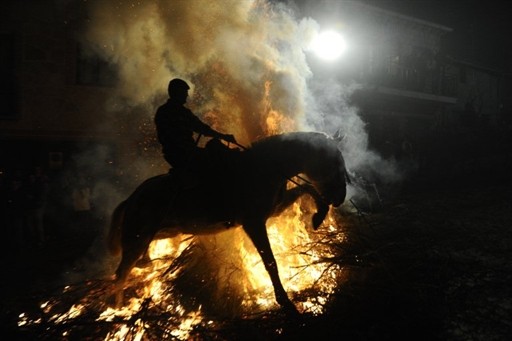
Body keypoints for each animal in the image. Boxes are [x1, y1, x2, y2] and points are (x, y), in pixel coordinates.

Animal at [107, 130, 348, 314]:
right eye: (334, 163)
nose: (340, 198)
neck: (263, 167)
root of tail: (132, 198)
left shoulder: (275, 209)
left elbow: (306, 188)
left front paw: (318, 216)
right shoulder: (253, 223)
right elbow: (270, 263)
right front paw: (285, 304)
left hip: (162, 231)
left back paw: (145, 265)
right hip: (137, 237)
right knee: (120, 273)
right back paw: (117, 308)